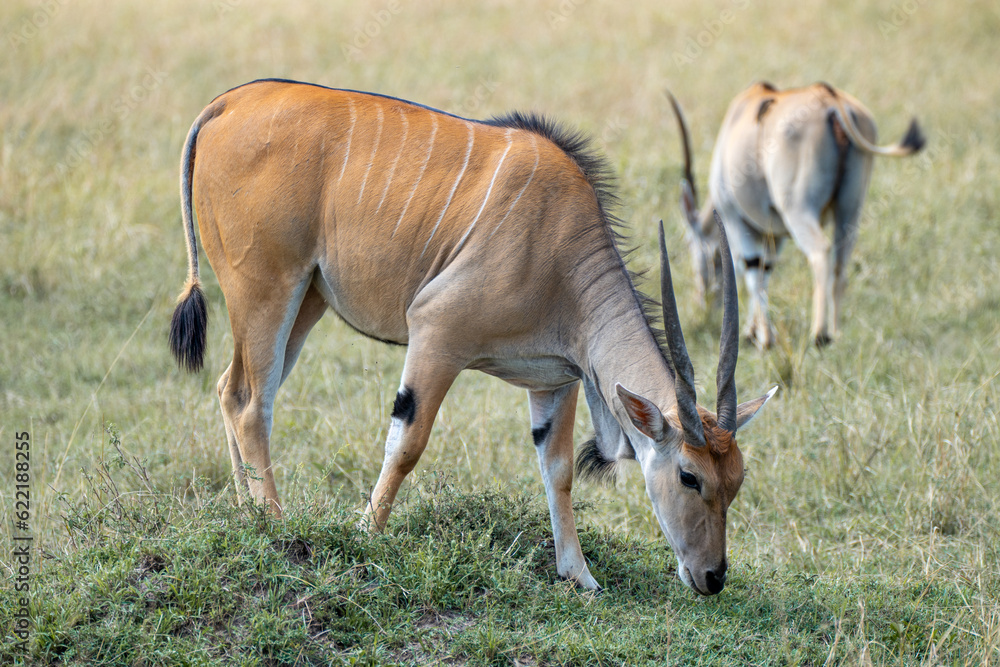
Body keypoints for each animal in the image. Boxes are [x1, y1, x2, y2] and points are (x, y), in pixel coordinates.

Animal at [168, 79, 776, 596]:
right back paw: (275, 523)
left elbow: (557, 471)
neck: (559, 245)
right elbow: (407, 444)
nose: (713, 577)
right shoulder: (436, 333)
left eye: (738, 480)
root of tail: (226, 104)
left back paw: (249, 516)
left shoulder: (555, 380)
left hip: (305, 301)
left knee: (235, 390)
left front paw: (579, 574)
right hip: (268, 291)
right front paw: (366, 535)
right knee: (250, 403)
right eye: (689, 476)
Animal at [668, 82, 924, 350]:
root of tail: (831, 101)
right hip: (850, 211)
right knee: (841, 264)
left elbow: (750, 270)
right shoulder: (774, 233)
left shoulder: (734, 218)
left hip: (797, 210)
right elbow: (764, 269)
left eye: (689, 243)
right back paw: (837, 333)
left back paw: (820, 335)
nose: (702, 302)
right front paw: (753, 331)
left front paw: (764, 338)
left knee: (820, 252)